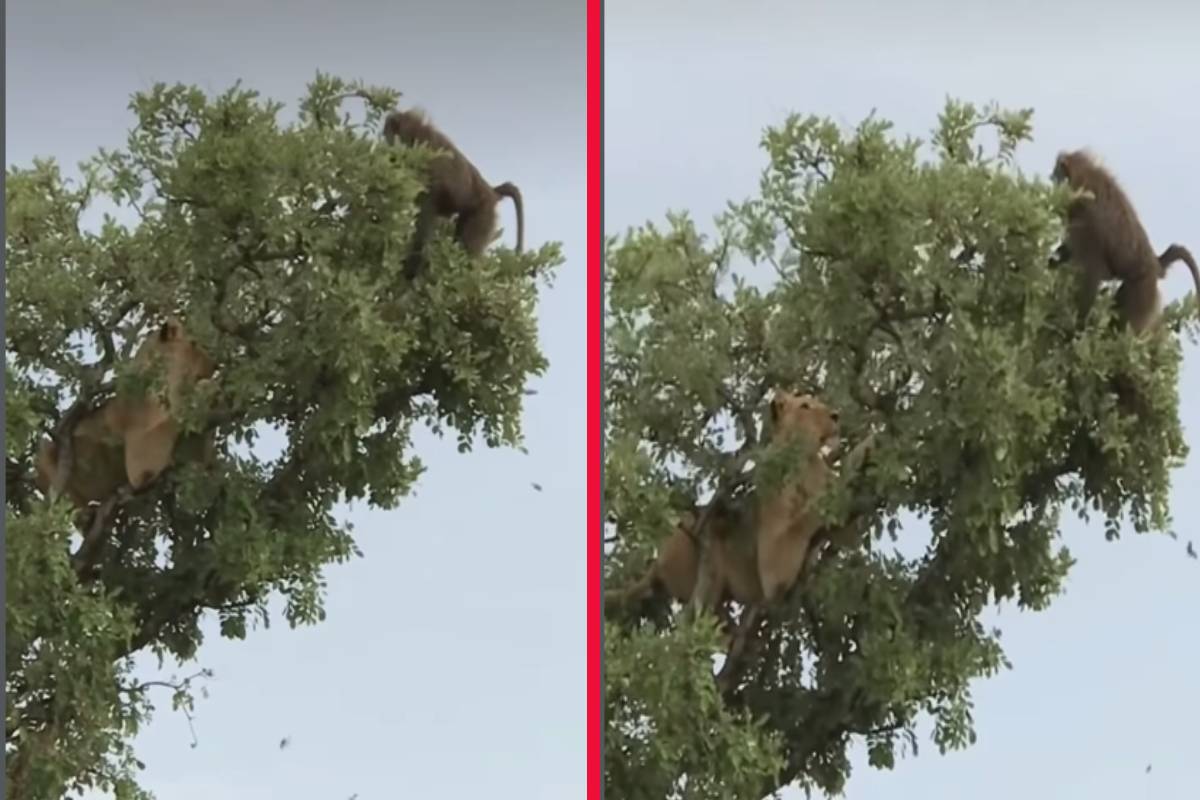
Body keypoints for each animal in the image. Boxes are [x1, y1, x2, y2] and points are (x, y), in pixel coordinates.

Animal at [34, 318, 218, 510]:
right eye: (194, 343)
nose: (215, 364)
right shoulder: (141, 458)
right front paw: (207, 388)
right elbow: (171, 421)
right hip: (45, 452)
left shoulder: (193, 452)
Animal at [382, 109, 524, 279]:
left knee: (468, 250)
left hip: (482, 213)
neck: (417, 134)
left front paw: (408, 271)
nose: (387, 147)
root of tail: (491, 191)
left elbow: (424, 222)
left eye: (387, 134)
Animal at [1051, 149, 1200, 334]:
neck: (1084, 179)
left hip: (1142, 289)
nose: (1051, 182)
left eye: (1056, 175)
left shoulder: (1085, 219)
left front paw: (1076, 327)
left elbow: (1092, 273)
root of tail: (1156, 265)